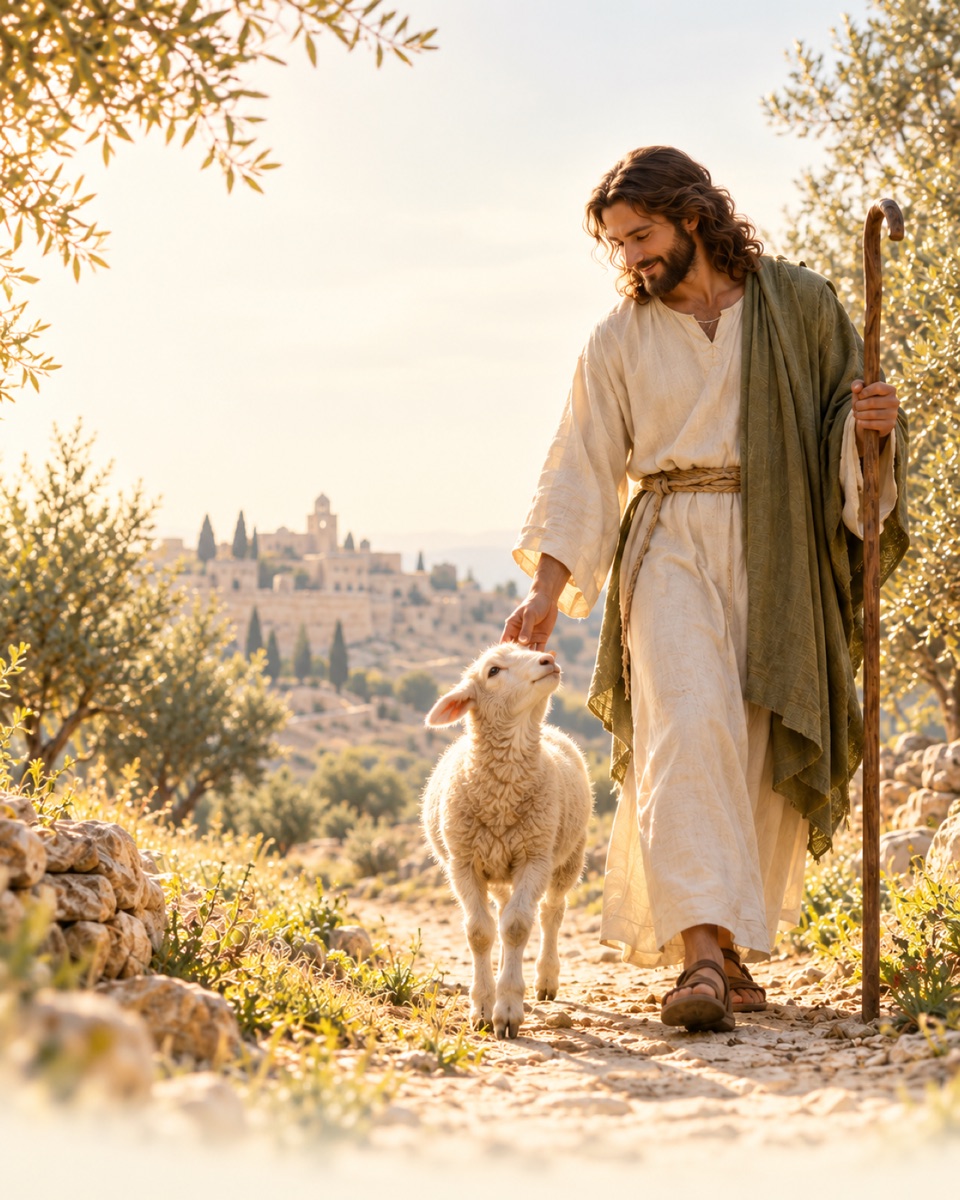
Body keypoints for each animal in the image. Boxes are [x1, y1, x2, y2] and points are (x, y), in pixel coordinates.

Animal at [422, 643, 593, 1039]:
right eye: (493, 671)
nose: (548, 659)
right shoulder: (463, 863)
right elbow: (480, 932)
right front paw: (484, 1007)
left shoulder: (535, 857)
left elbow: (516, 928)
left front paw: (509, 1008)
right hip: (498, 865)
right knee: (501, 914)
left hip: (567, 856)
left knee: (551, 913)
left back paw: (545, 978)